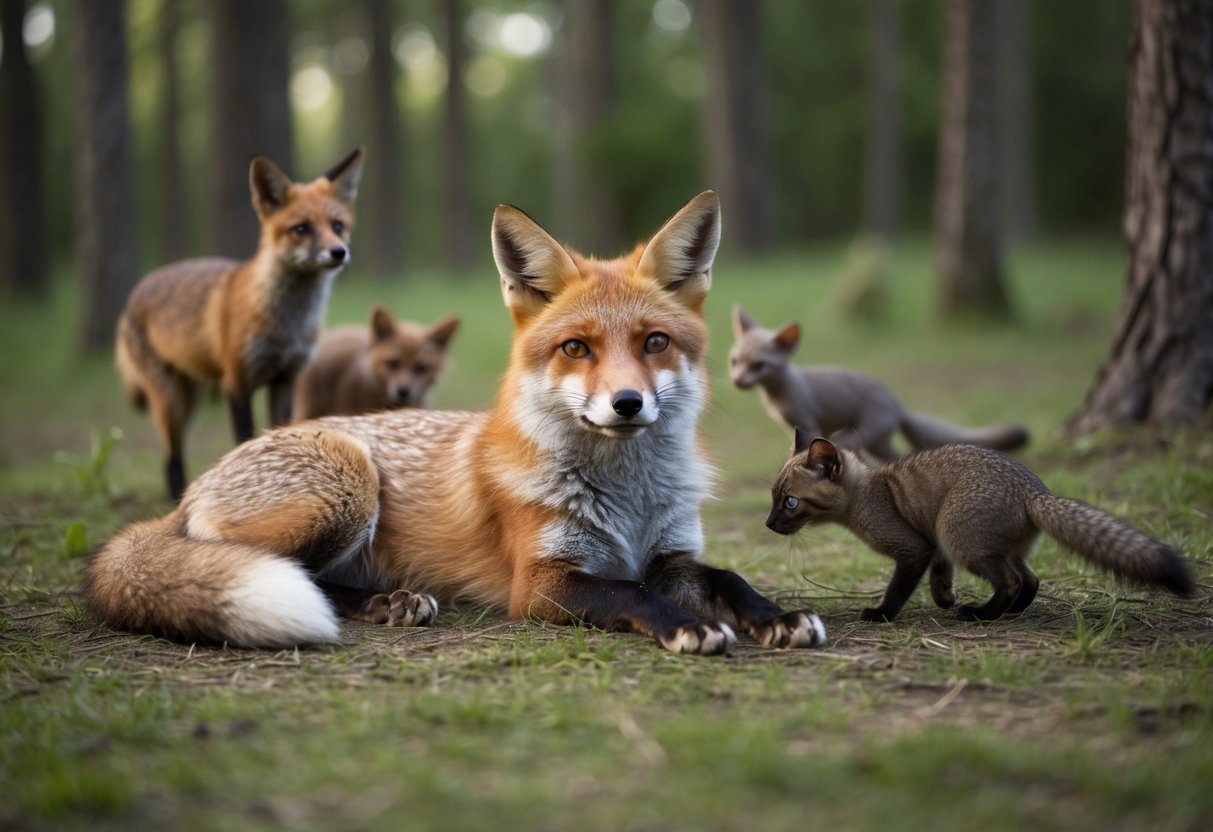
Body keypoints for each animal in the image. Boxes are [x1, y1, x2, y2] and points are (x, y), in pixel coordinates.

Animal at [115, 148, 365, 500]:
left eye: (338, 225)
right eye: (301, 229)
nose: (338, 252)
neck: (286, 323)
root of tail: (138, 289)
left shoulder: (285, 379)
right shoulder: (236, 382)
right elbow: (242, 440)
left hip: (192, 395)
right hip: (172, 401)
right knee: (171, 458)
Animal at [728, 306, 1029, 460]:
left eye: (759, 366)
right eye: (735, 362)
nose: (737, 381)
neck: (778, 397)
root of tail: (898, 404)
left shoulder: (809, 421)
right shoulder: (793, 427)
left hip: (858, 436)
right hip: (875, 442)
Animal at [766, 430, 1195, 622]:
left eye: (790, 502)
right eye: (773, 497)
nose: (769, 524)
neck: (868, 491)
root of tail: (1035, 493)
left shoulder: (915, 548)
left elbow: (898, 588)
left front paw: (881, 614)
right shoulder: (934, 546)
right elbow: (941, 575)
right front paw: (944, 599)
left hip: (960, 534)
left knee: (1011, 581)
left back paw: (982, 614)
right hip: (992, 544)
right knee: (1030, 579)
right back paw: (1010, 613)